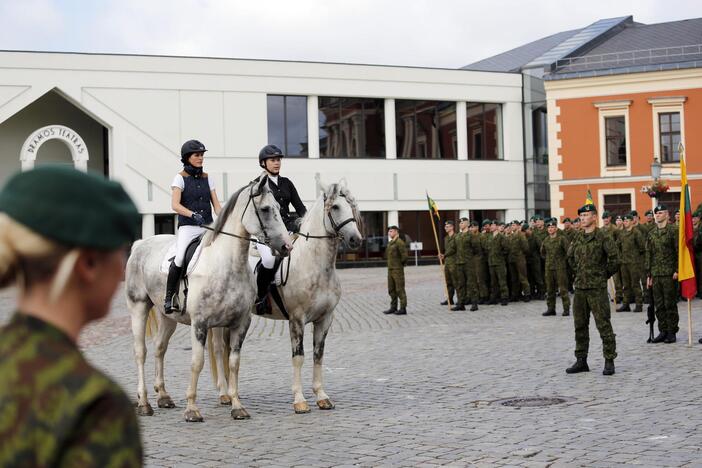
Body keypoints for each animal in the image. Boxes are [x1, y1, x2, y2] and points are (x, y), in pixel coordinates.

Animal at [125, 174, 292, 422]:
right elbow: (197, 363)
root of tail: (140, 244)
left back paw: (163, 396)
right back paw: (144, 403)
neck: (226, 264)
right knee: (140, 352)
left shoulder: (240, 323)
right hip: (138, 307)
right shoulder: (200, 323)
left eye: (280, 208)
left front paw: (237, 406)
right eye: (264, 209)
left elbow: (233, 363)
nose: (286, 246)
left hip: (168, 316)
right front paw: (192, 410)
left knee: (159, 348)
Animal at [216, 179, 366, 414]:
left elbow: (318, 355)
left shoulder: (325, 319)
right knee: (218, 350)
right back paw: (225, 395)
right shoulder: (297, 319)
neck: (314, 264)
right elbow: (299, 357)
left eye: (352, 206)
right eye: (334, 207)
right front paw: (300, 401)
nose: (355, 240)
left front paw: (322, 396)